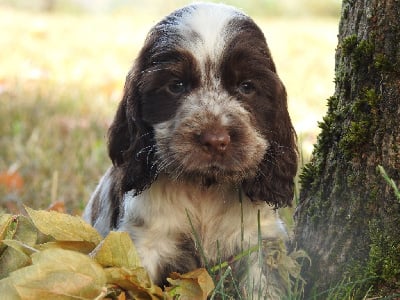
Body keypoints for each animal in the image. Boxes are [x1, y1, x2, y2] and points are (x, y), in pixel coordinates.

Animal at [83, 2, 296, 298]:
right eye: (176, 85)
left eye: (247, 87)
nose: (215, 140)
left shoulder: (259, 242)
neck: (205, 189)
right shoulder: (145, 241)